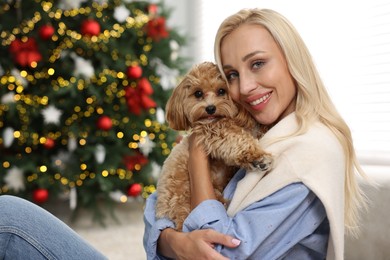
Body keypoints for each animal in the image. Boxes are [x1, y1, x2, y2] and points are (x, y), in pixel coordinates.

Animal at [155, 62, 272, 231]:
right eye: (198, 93)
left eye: (221, 91)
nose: (210, 108)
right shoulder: (212, 131)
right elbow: (236, 139)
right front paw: (258, 157)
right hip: (183, 199)